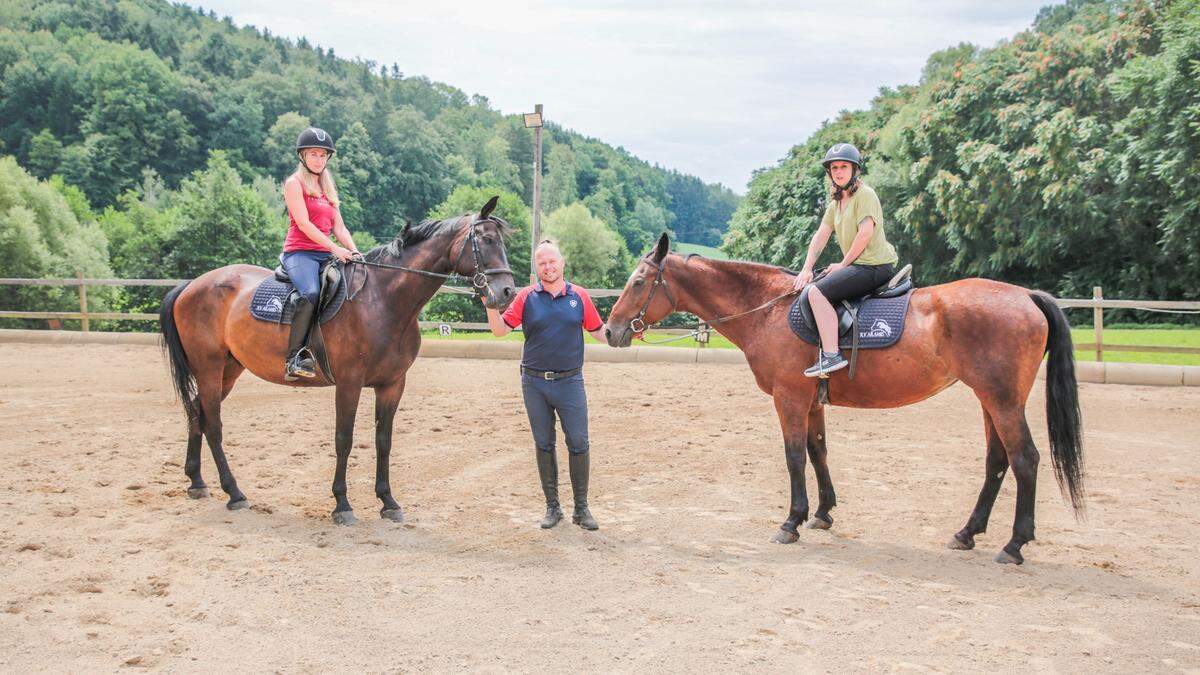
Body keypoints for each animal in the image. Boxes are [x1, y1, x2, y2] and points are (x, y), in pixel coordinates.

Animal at [158, 196, 516, 523]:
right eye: (485, 240)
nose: (507, 293)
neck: (382, 300)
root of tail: (192, 285)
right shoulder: (349, 383)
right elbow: (344, 439)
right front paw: (342, 504)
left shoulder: (392, 384)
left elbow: (383, 441)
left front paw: (388, 502)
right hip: (209, 366)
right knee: (213, 424)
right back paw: (233, 492)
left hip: (229, 369)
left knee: (197, 412)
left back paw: (197, 482)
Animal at [604, 234, 1084, 559]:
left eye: (639, 281)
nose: (609, 330)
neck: (770, 310)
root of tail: (1026, 296)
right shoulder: (811, 400)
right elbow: (818, 451)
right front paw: (822, 513)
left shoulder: (789, 398)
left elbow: (794, 456)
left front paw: (791, 521)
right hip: (990, 400)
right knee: (998, 462)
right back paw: (968, 533)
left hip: (1003, 401)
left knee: (1025, 460)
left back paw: (1015, 543)